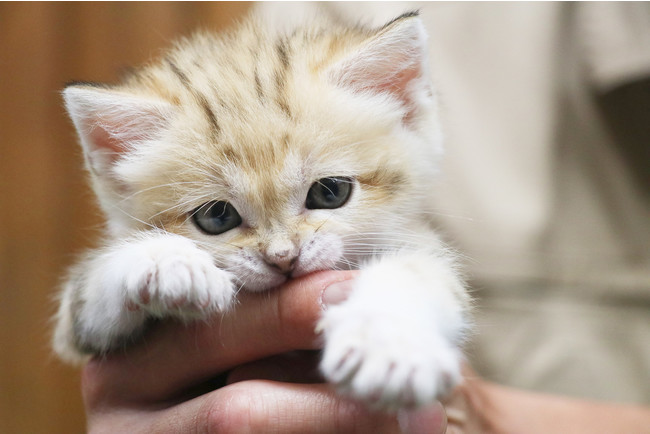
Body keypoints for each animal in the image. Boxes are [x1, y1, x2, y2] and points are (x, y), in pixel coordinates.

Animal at [52, 11, 466, 410]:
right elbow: (90, 283)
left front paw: (389, 345)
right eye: (217, 217)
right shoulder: (75, 331)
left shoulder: (419, 243)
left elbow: (417, 272)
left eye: (330, 193)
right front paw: (167, 262)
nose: (283, 258)